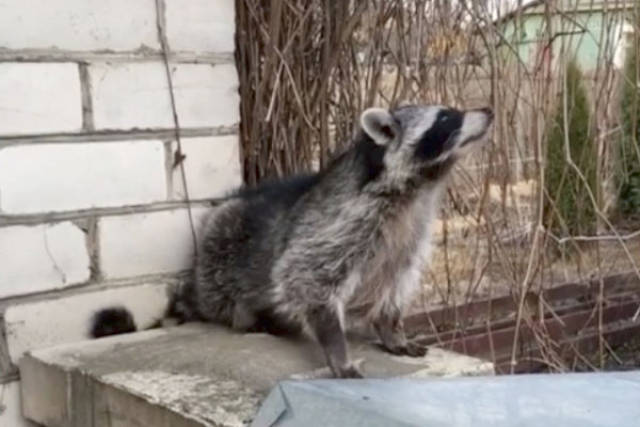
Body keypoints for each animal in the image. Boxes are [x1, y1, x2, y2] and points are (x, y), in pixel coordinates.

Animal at [92, 104, 492, 382]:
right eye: (447, 118)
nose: (487, 111)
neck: (417, 190)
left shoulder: (409, 237)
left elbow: (393, 284)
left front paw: (391, 329)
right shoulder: (337, 226)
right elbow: (305, 277)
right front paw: (338, 349)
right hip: (218, 251)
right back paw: (248, 314)